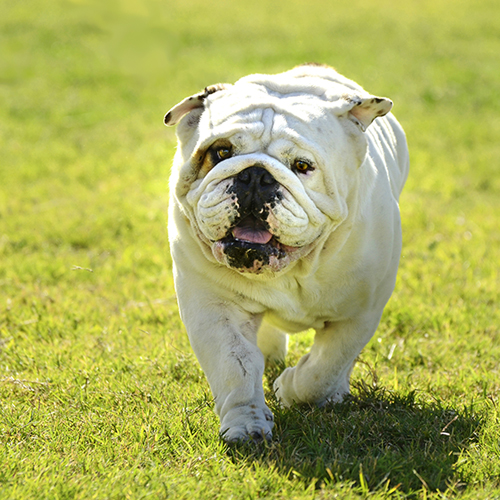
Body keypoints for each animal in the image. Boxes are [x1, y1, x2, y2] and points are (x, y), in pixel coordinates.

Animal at [166, 63, 408, 442]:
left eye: (303, 166)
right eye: (221, 153)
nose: (255, 176)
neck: (296, 267)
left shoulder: (359, 314)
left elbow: (325, 369)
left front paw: (291, 388)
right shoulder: (212, 306)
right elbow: (235, 364)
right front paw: (247, 425)